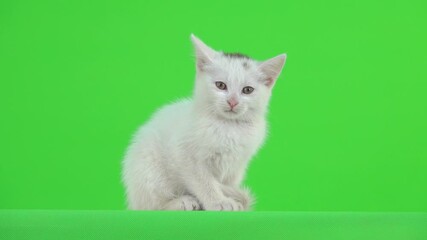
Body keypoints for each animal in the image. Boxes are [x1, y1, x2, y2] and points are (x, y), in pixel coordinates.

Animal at [121, 33, 288, 210]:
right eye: (220, 85)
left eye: (247, 90)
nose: (232, 101)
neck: (228, 126)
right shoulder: (185, 155)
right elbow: (204, 182)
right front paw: (219, 202)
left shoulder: (237, 165)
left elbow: (228, 184)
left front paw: (233, 201)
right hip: (149, 172)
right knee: (151, 206)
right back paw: (181, 202)